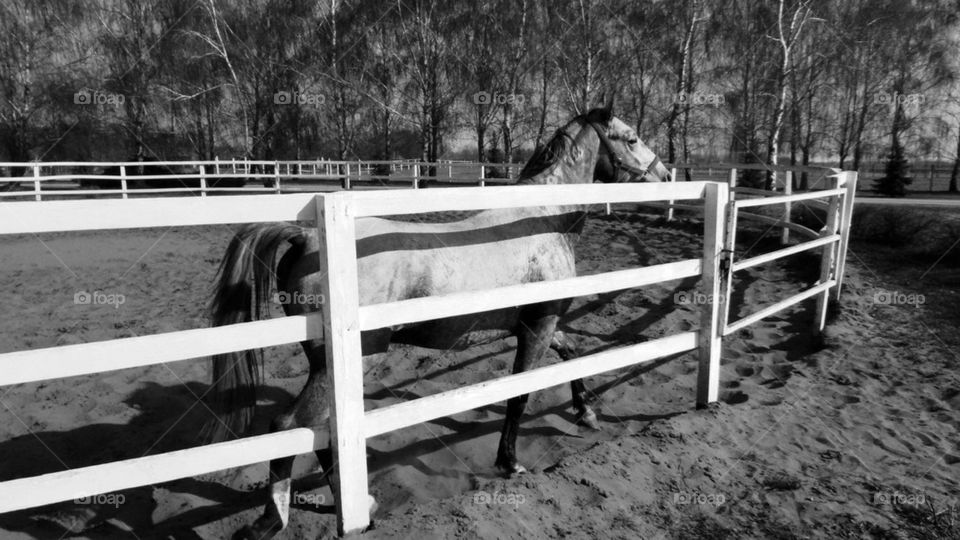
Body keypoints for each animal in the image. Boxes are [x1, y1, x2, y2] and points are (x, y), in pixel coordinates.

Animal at [204, 107, 670, 538]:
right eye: (631, 138)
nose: (665, 174)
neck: (541, 219)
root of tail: (306, 236)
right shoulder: (538, 328)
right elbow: (520, 395)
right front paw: (511, 463)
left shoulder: (539, 325)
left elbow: (572, 354)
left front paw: (586, 412)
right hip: (349, 361)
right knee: (292, 427)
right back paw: (282, 518)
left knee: (319, 430)